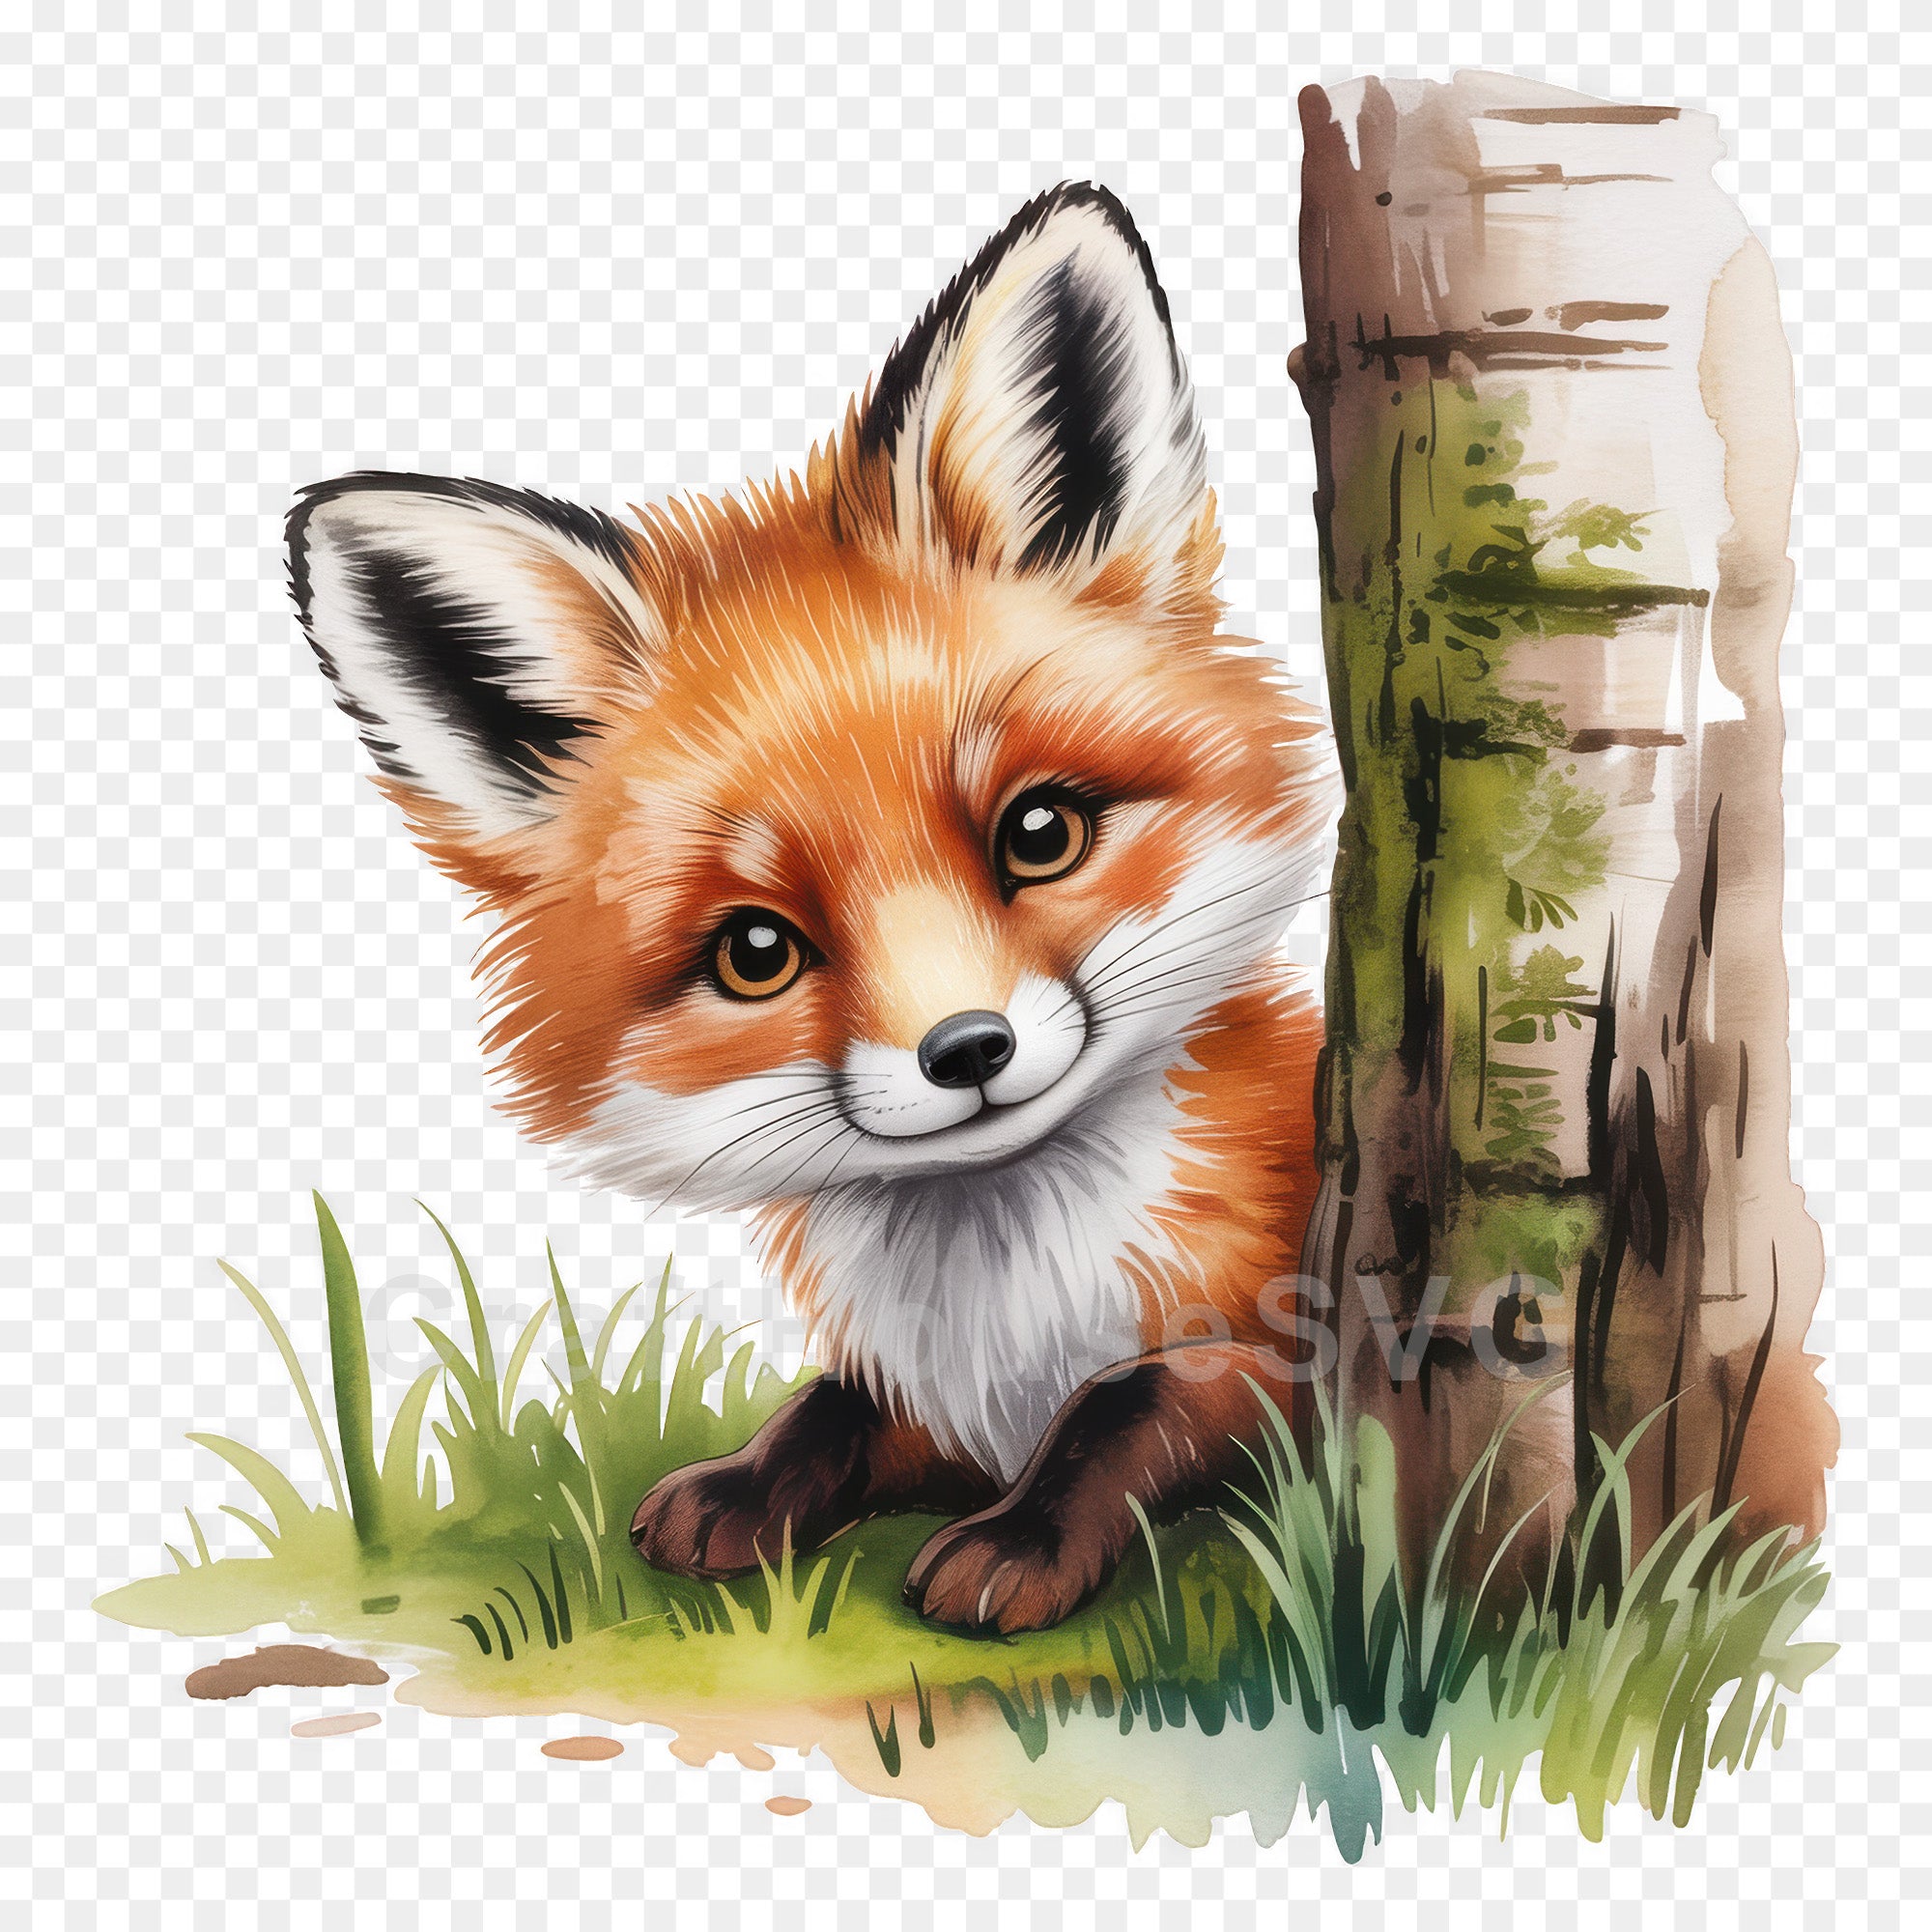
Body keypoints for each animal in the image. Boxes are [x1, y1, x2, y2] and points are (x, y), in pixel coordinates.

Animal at [286, 182, 1334, 1636]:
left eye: (1040, 833)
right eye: (757, 951)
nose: (968, 1050)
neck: (1007, 1312)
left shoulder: (1317, 1371)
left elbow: (1135, 1393)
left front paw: (1019, 1535)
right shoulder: (926, 1396)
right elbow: (829, 1409)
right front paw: (742, 1487)